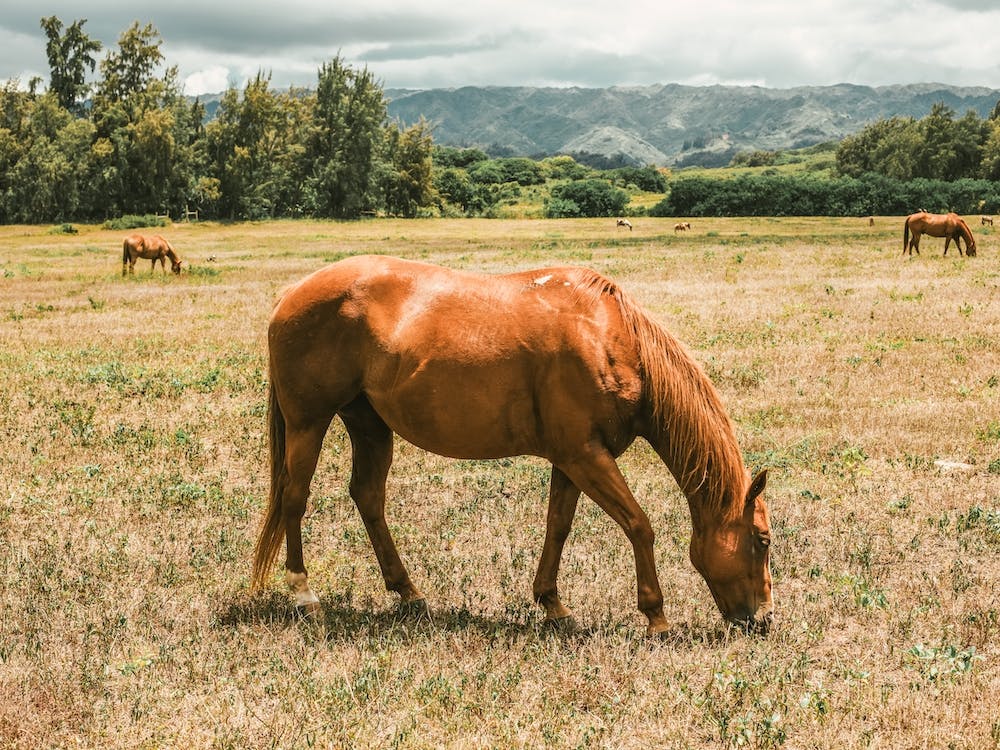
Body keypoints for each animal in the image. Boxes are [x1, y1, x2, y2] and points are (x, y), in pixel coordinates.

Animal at [250, 255, 774, 636]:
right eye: (763, 540)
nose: (764, 620)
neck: (608, 338)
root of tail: (291, 294)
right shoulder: (586, 456)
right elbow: (639, 525)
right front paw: (656, 617)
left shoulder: (572, 459)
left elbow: (558, 527)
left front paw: (553, 604)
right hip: (308, 423)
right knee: (295, 498)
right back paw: (304, 594)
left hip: (369, 425)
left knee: (367, 497)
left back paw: (409, 593)